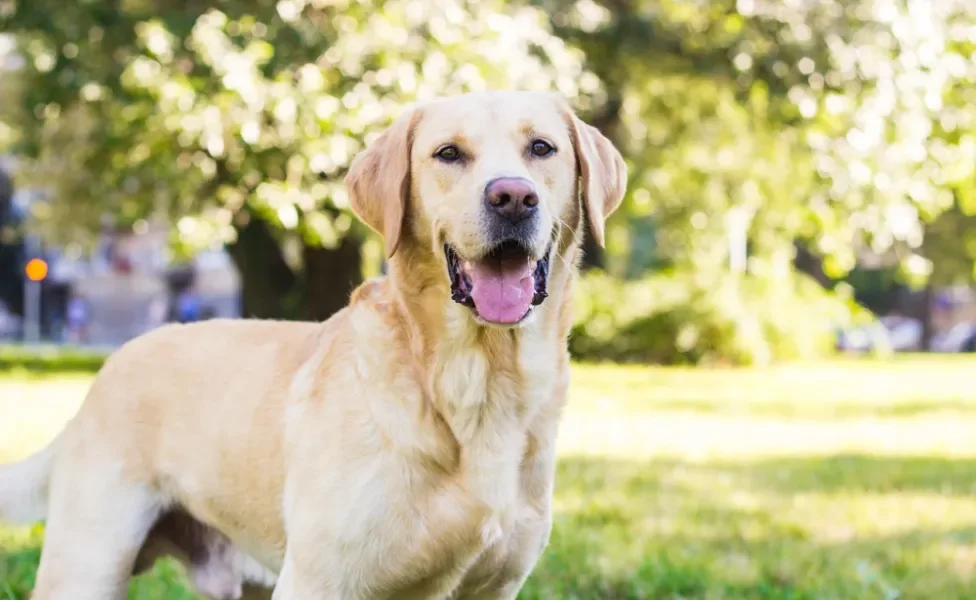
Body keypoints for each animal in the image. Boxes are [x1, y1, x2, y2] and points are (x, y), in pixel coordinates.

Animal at [0, 86, 624, 596]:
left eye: (541, 148)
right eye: (448, 154)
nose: (513, 197)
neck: (476, 380)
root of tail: (108, 368)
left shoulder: (492, 588)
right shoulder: (320, 581)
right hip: (87, 563)